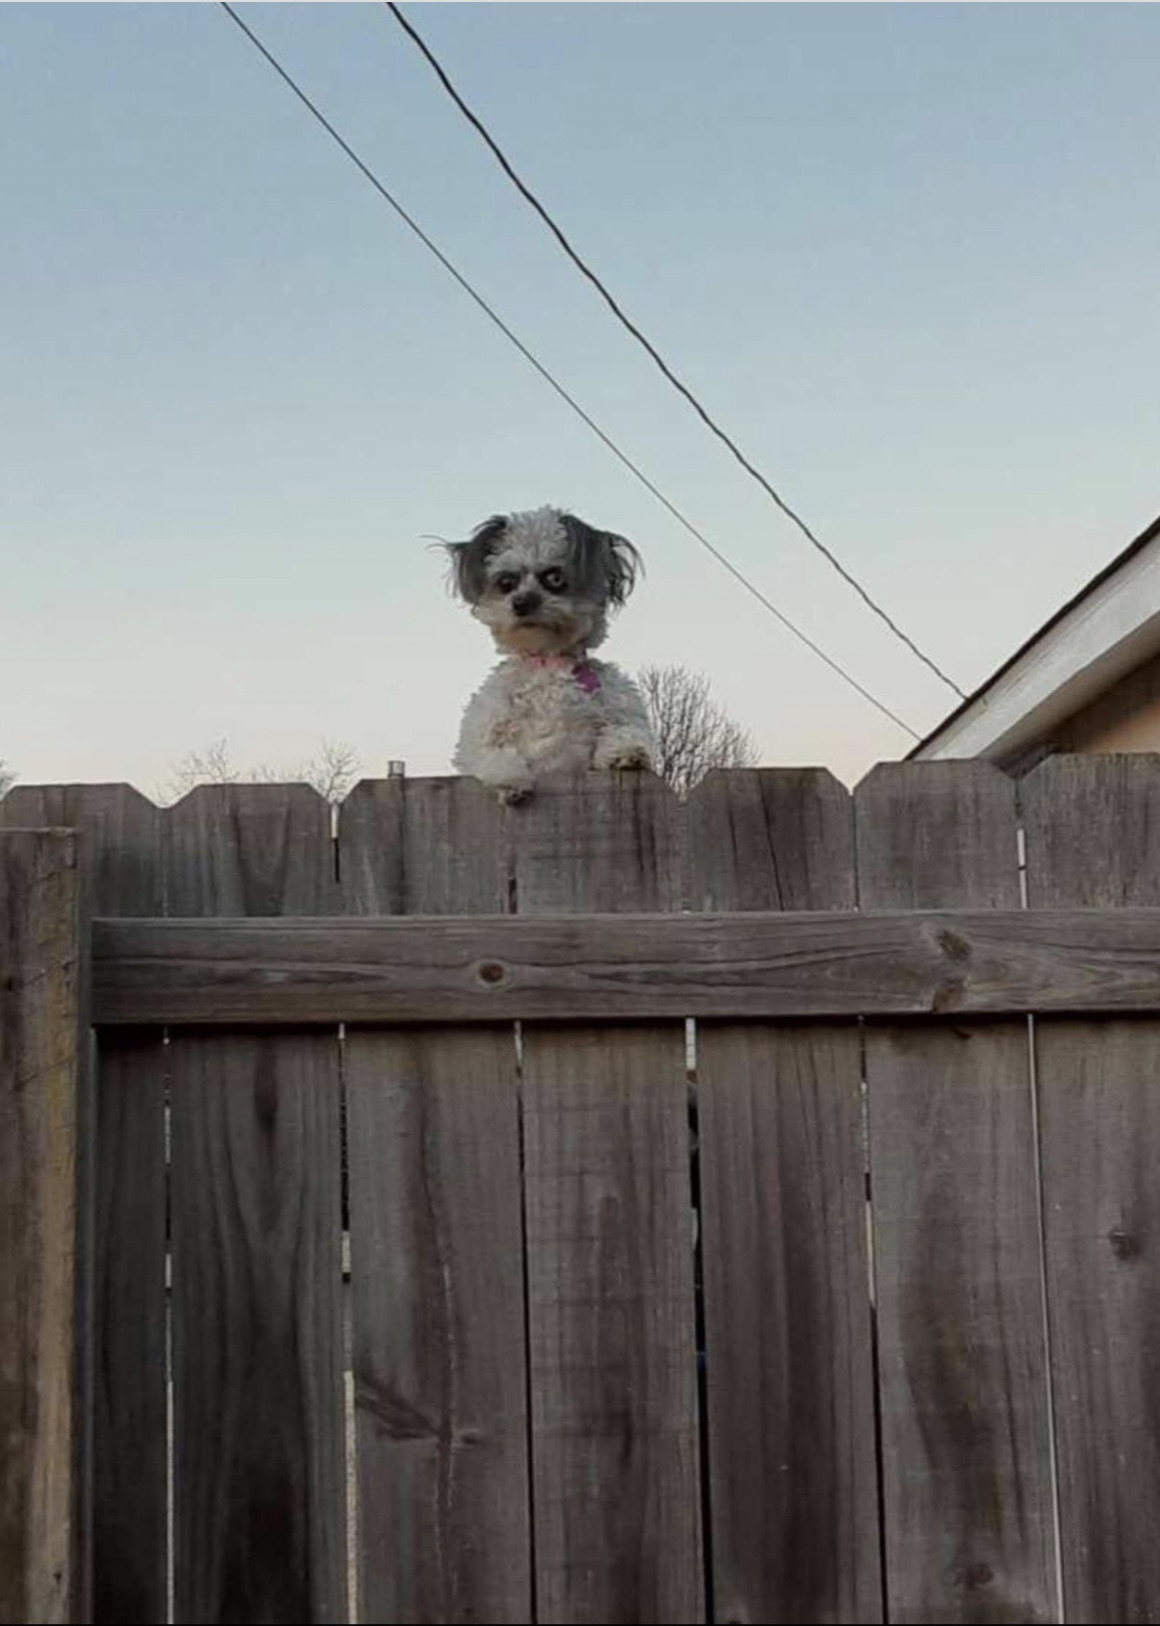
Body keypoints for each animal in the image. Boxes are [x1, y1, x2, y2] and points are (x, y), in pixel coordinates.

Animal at [449, 497, 657, 796]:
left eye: (555, 578)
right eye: (506, 582)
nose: (522, 602)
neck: (547, 661)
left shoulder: (619, 706)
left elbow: (626, 729)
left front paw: (627, 752)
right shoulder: (482, 729)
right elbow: (490, 753)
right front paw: (508, 778)